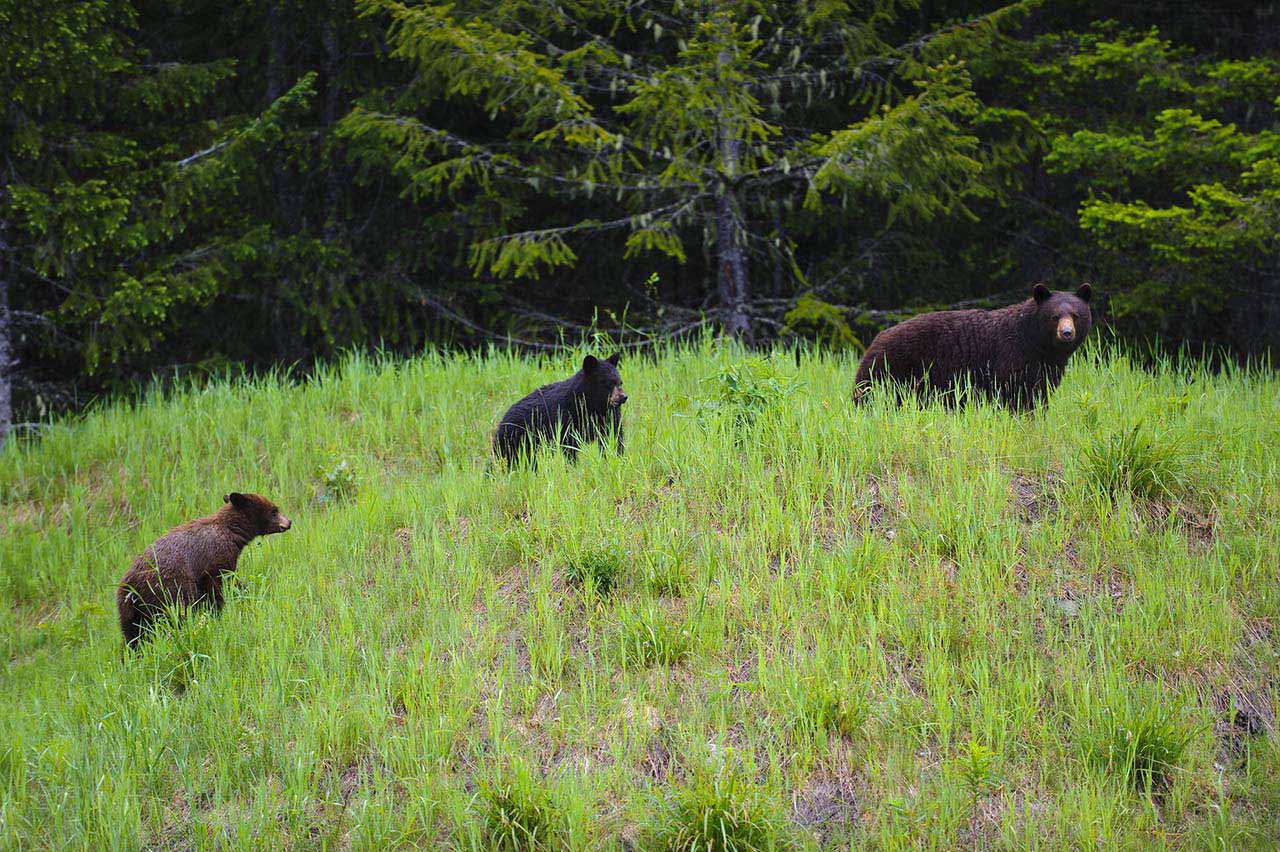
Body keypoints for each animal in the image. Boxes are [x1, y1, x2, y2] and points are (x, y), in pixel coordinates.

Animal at [118, 491, 293, 644]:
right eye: (274, 510)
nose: (289, 522)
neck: (230, 530)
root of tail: (132, 585)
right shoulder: (216, 559)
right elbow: (218, 587)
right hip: (167, 588)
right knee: (178, 612)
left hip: (128, 609)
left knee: (133, 635)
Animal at [491, 350, 627, 460]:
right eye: (608, 383)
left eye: (620, 382)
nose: (624, 397)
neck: (593, 404)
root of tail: (503, 419)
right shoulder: (566, 418)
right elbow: (568, 445)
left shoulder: (608, 416)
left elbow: (614, 438)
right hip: (514, 439)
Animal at [855, 281, 1095, 409]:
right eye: (1054, 316)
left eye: (1076, 315)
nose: (1066, 333)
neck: (1035, 343)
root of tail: (876, 340)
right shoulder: (1012, 358)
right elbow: (1017, 395)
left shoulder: (1045, 368)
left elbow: (1039, 393)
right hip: (892, 371)